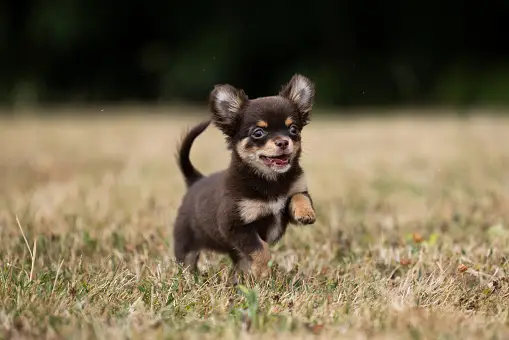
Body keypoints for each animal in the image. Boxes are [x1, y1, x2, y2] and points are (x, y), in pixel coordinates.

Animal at [175, 73, 318, 278]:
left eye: (293, 129)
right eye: (258, 133)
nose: (283, 142)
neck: (270, 180)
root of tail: (196, 180)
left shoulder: (292, 197)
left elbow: (299, 197)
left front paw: (306, 213)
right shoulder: (236, 226)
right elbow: (260, 249)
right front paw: (263, 273)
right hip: (186, 245)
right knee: (186, 263)